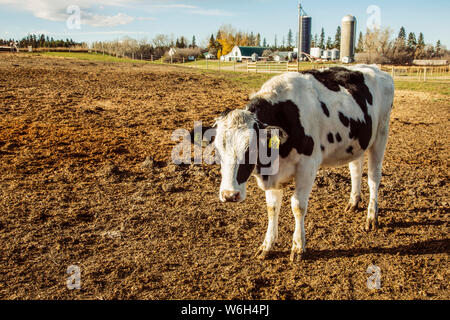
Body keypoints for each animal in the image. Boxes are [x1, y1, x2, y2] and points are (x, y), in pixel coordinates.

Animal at [193, 63, 394, 262]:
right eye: (217, 150)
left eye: (251, 148)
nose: (229, 195)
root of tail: (375, 68)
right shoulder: (273, 174)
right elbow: (272, 208)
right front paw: (267, 246)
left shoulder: (308, 166)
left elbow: (297, 206)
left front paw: (298, 247)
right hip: (357, 142)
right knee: (356, 169)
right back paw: (353, 202)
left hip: (381, 136)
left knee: (374, 178)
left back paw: (371, 217)